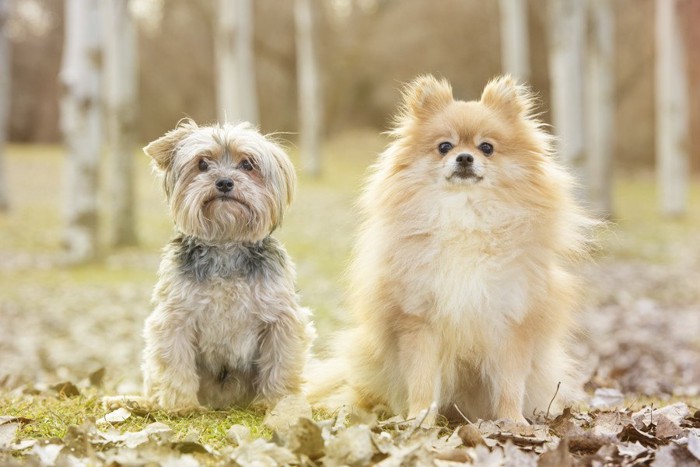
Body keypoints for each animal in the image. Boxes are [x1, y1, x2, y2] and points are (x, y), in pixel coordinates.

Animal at [141, 119, 314, 412]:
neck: (226, 246)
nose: (224, 182)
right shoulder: (175, 317)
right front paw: (182, 405)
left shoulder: (281, 319)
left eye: (247, 164)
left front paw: (276, 402)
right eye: (202, 164)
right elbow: (176, 361)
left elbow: (280, 361)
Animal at [310, 74, 596, 424]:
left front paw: (512, 422)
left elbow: (510, 384)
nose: (464, 157)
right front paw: (418, 420)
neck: (465, 217)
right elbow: (421, 380)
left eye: (487, 148)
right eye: (445, 146)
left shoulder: (512, 322)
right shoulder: (419, 322)